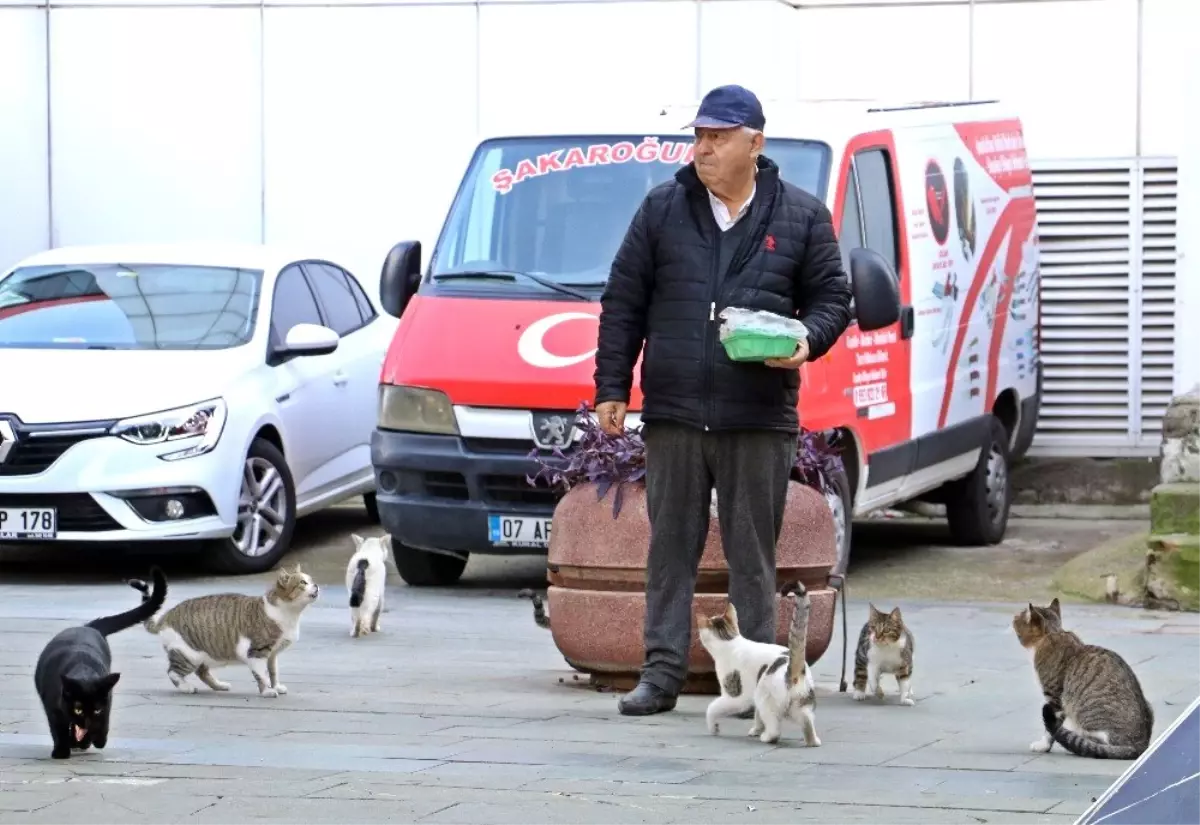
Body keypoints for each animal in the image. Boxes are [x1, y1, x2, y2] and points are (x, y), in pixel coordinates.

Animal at [34, 565, 168, 762]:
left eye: (96, 710)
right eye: (78, 709)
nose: (87, 722)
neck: (82, 671)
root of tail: (88, 627)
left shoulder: (106, 703)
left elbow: (100, 725)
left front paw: (92, 740)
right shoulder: (53, 708)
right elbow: (58, 729)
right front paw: (62, 750)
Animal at [130, 565, 319, 695]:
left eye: (311, 580)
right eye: (303, 583)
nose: (316, 585)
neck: (289, 614)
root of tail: (166, 616)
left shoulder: (272, 654)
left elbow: (273, 672)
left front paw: (276, 686)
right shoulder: (256, 652)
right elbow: (262, 674)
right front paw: (266, 691)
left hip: (204, 654)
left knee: (201, 672)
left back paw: (218, 685)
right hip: (189, 655)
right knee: (173, 672)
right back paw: (186, 687)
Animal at [700, 580, 820, 748]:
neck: (730, 642)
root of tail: (793, 671)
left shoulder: (736, 696)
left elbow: (712, 708)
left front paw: (713, 728)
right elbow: (757, 715)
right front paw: (756, 729)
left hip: (764, 696)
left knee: (775, 729)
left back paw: (767, 737)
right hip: (801, 703)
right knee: (807, 721)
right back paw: (813, 741)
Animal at [1012, 597, 1152, 757]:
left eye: (1019, 616)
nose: (1013, 617)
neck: (1053, 634)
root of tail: (1140, 746)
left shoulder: (1055, 698)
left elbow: (1050, 729)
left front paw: (1043, 745)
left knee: (1097, 743)